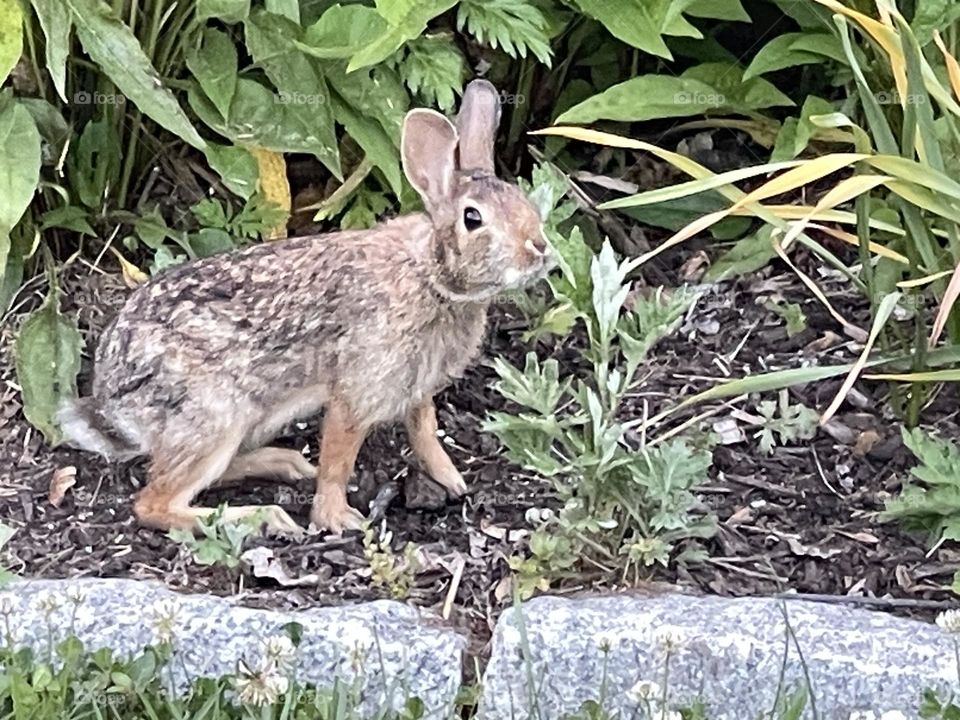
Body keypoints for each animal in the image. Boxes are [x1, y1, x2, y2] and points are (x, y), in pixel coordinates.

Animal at [57, 79, 553, 536]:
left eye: (522, 200)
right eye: (473, 219)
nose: (540, 249)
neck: (431, 273)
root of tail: (111, 401)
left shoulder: (416, 386)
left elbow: (425, 430)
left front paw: (452, 480)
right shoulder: (358, 387)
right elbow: (339, 458)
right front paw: (338, 519)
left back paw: (287, 464)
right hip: (214, 418)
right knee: (155, 503)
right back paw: (265, 516)